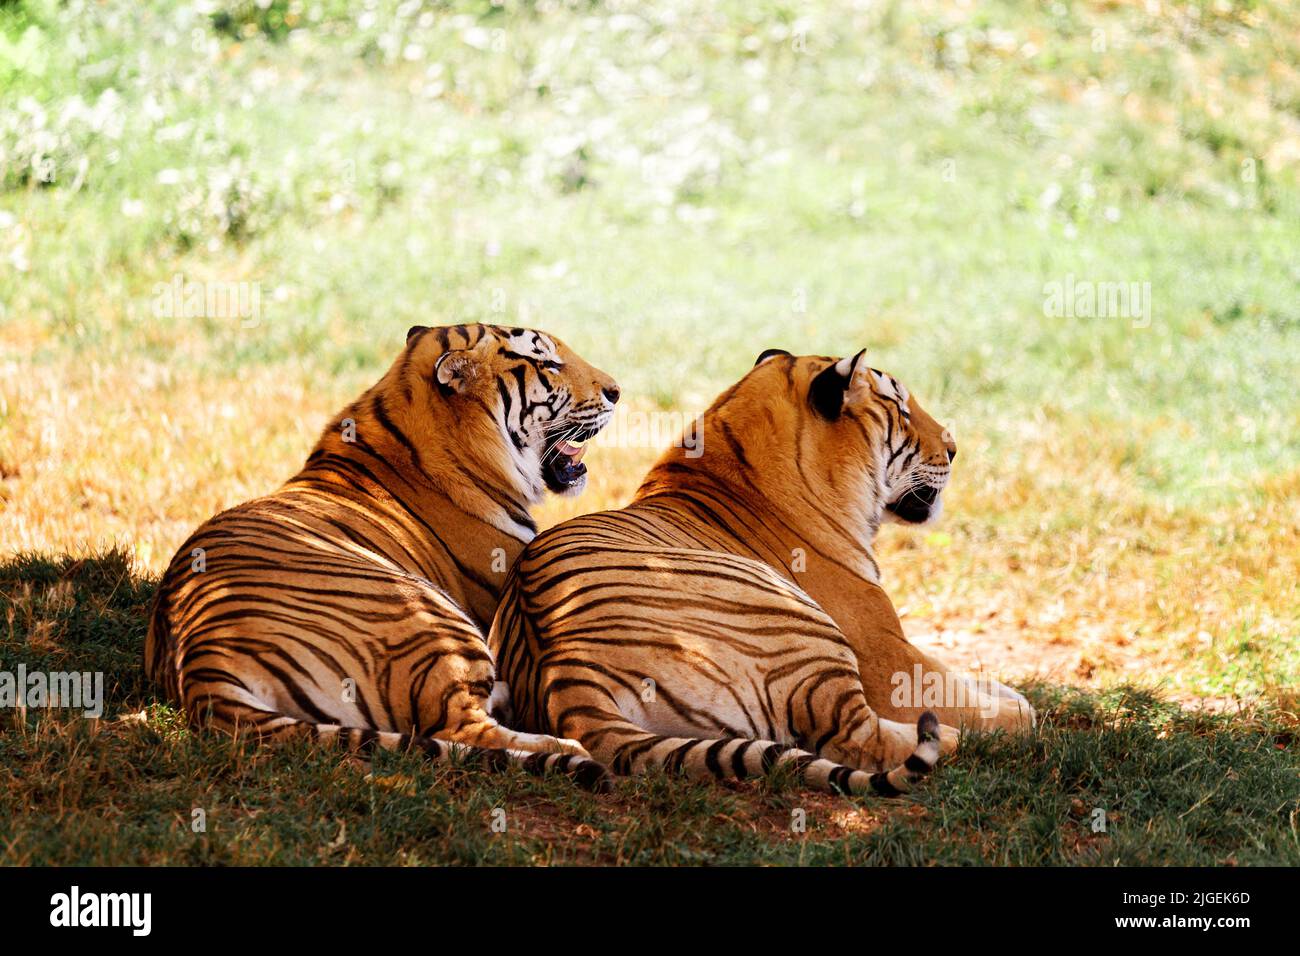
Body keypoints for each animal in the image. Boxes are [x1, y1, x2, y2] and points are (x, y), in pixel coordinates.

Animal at [144, 325, 621, 790]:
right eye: (547, 362)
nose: (617, 392)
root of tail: (202, 657)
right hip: (428, 614)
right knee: (462, 726)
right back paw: (568, 747)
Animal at [488, 348, 1034, 796]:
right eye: (901, 409)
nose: (954, 447)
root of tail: (564, 672)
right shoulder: (886, 655)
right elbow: (978, 699)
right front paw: (1020, 713)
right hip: (802, 622)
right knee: (860, 739)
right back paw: (949, 738)